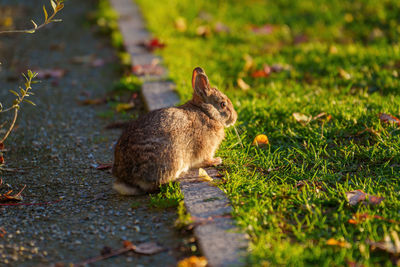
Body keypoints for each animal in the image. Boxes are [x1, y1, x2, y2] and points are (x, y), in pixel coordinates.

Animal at [111, 68, 238, 196]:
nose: (235, 117)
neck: (206, 113)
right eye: (223, 104)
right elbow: (204, 160)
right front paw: (216, 161)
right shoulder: (205, 149)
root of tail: (128, 178)